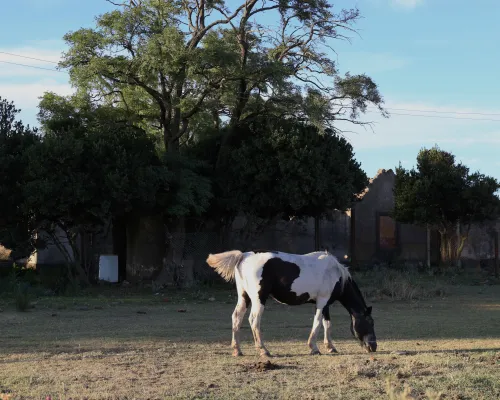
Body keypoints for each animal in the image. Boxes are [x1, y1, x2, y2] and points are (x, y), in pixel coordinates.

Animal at [205, 250, 376, 356]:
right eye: (370, 322)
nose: (373, 347)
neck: (336, 273)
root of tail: (244, 256)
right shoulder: (321, 302)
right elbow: (317, 323)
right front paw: (314, 348)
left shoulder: (325, 304)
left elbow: (327, 324)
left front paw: (330, 347)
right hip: (259, 299)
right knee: (254, 321)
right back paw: (263, 350)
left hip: (244, 297)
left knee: (237, 318)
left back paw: (237, 350)